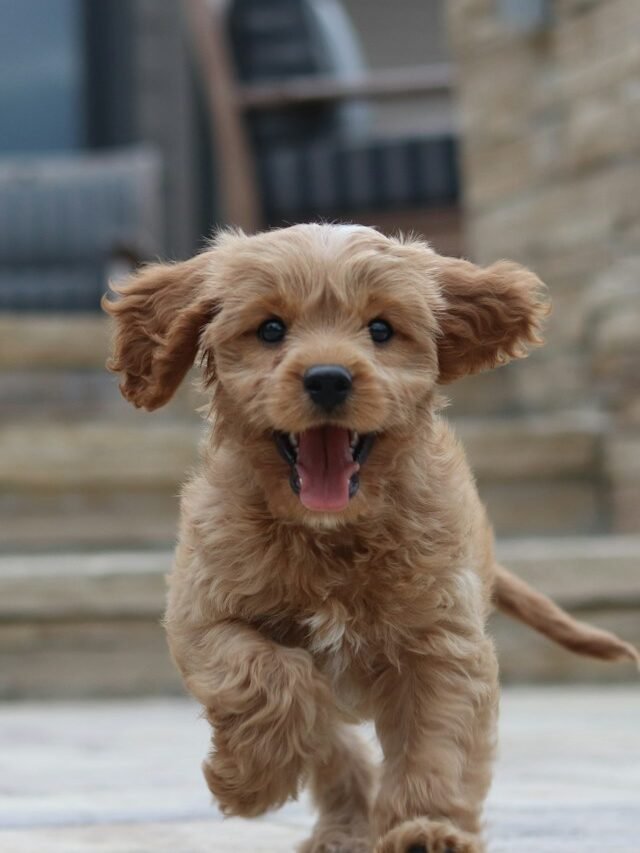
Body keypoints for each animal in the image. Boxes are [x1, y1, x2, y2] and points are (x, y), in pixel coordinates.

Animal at [102, 223, 636, 848]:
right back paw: (341, 825)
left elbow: (438, 746)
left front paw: (426, 826)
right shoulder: (204, 615)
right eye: (270, 329)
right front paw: (247, 782)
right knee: (329, 736)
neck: (331, 533)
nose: (328, 378)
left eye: (381, 329)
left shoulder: (442, 644)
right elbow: (268, 676)